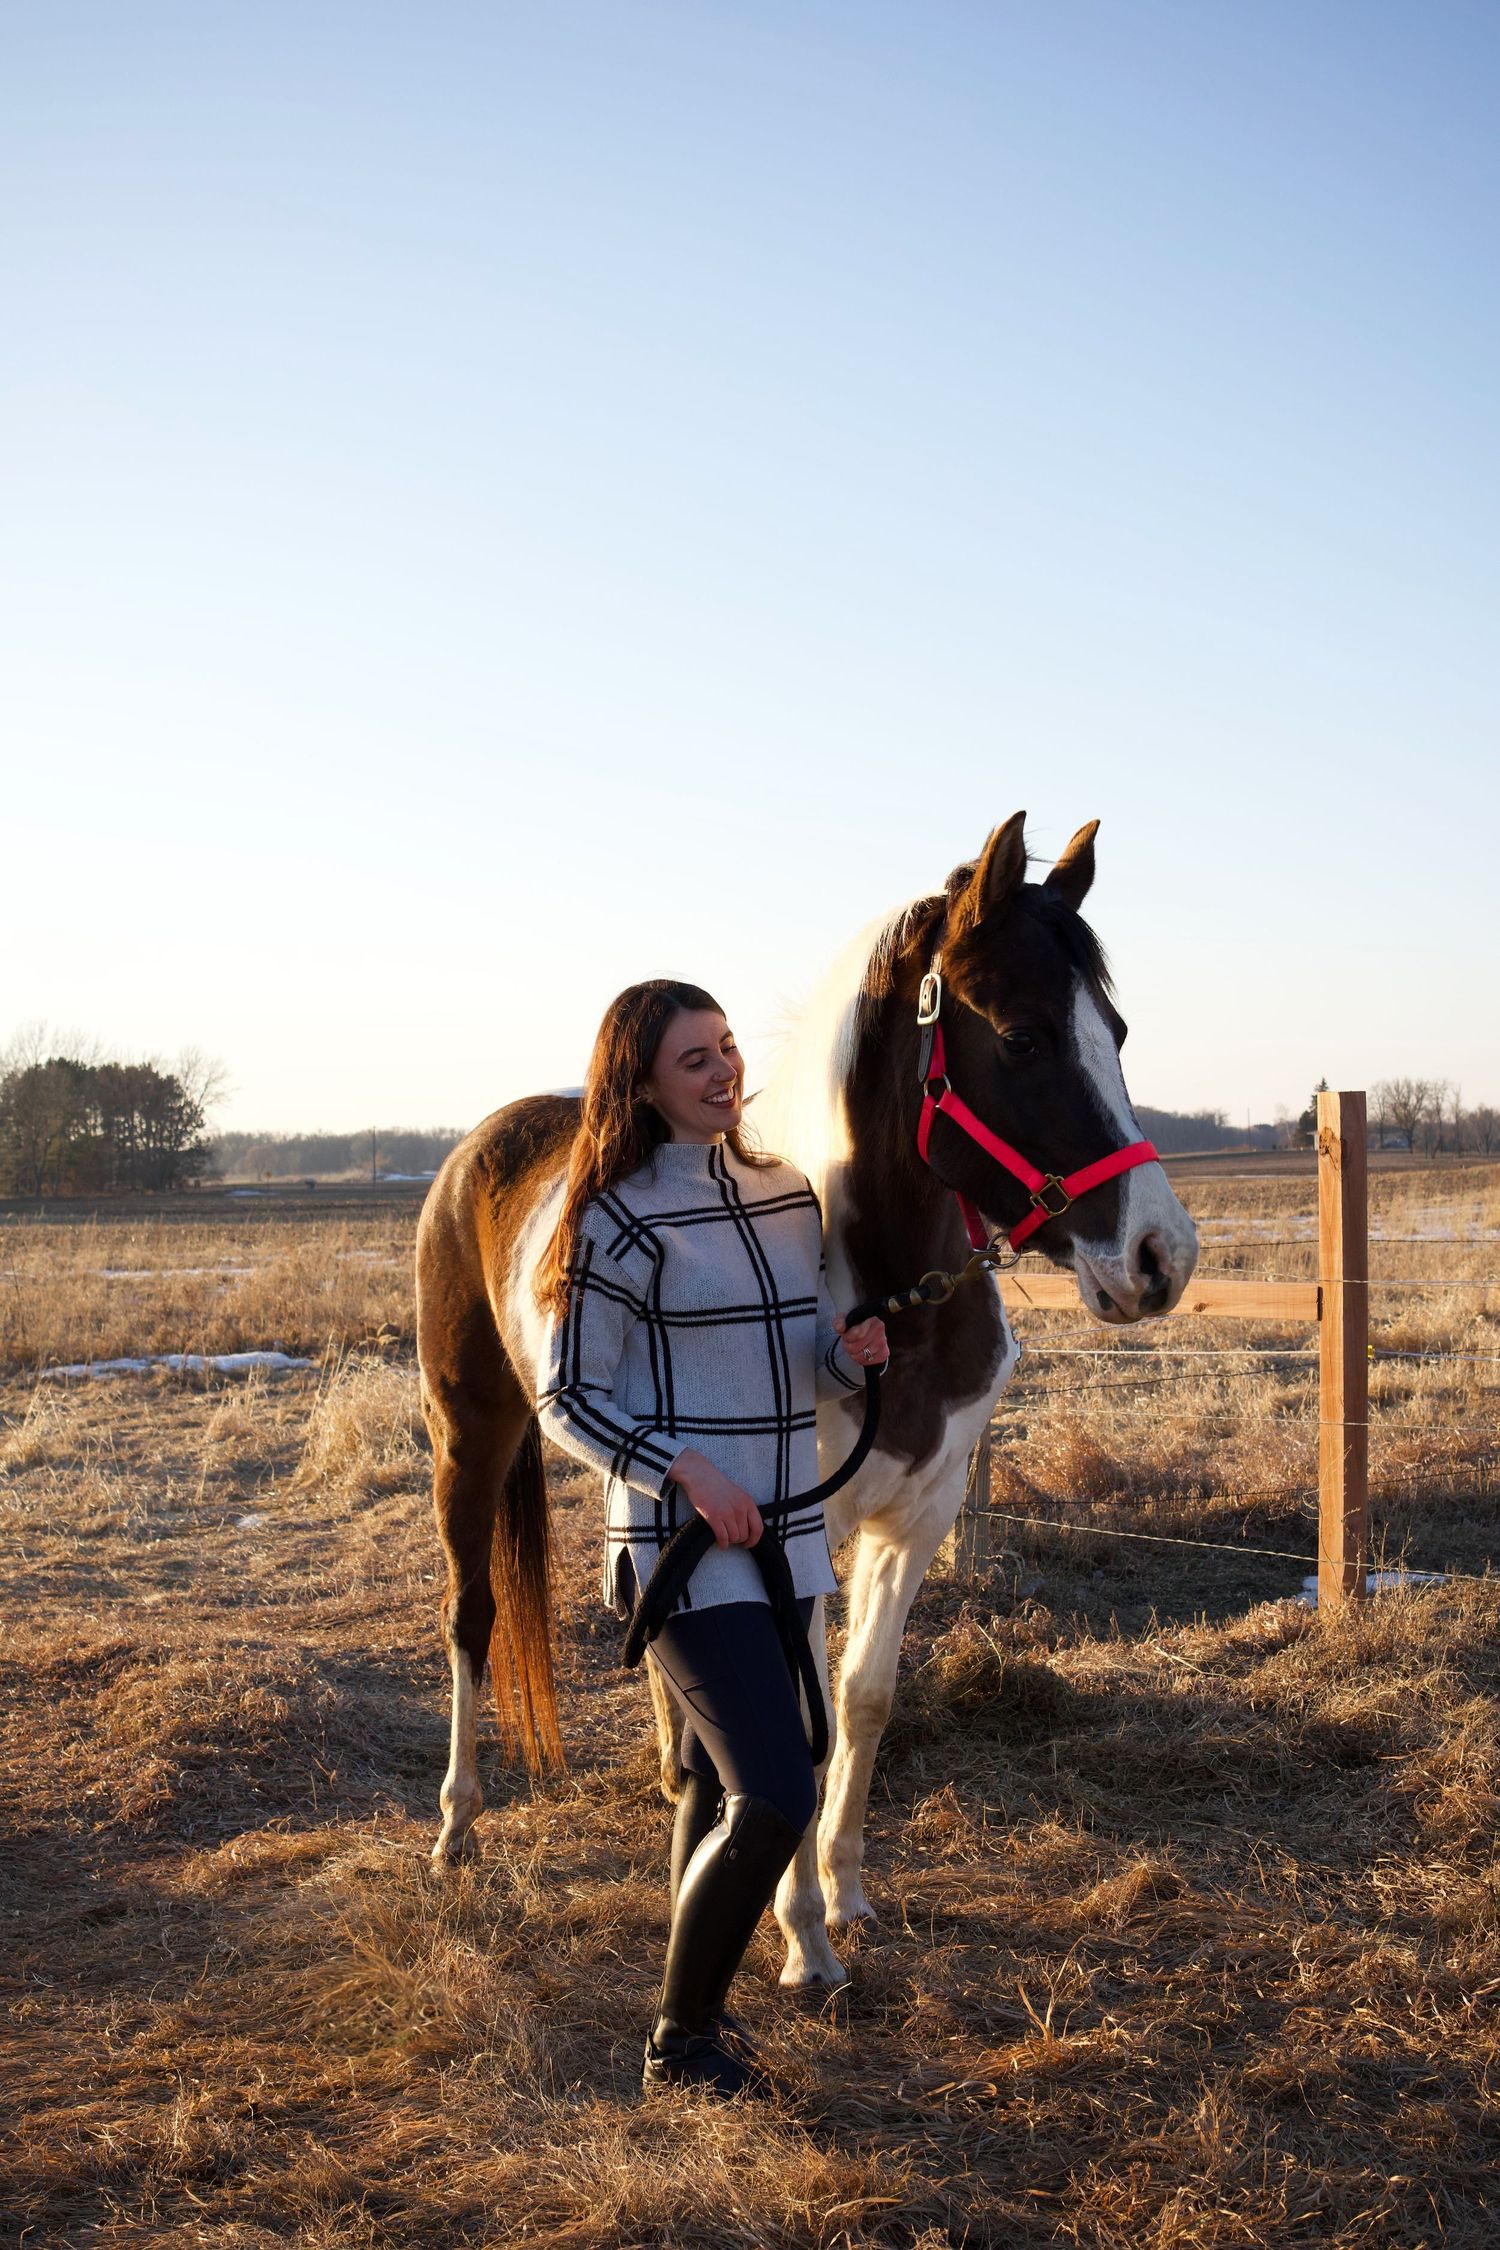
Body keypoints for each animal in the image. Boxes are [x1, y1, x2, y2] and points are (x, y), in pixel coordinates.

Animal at [415, 812, 1198, 1990]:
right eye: (1021, 1038)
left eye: (1115, 1027)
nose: (1161, 1258)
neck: (883, 1297)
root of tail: (480, 1148)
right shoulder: (793, 1531)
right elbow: (803, 1707)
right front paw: (802, 1937)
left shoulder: (919, 1515)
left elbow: (863, 1701)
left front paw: (848, 1889)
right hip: (471, 1436)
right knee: (472, 1616)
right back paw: (459, 1825)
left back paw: (673, 1768)